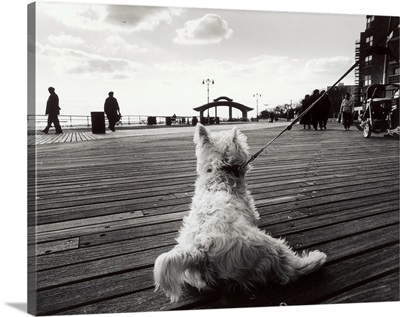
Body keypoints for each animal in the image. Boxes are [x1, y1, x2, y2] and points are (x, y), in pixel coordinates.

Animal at [155, 123, 326, 302]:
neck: (219, 173)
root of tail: (200, 250)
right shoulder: (250, 206)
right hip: (264, 246)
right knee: (288, 269)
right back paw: (315, 259)